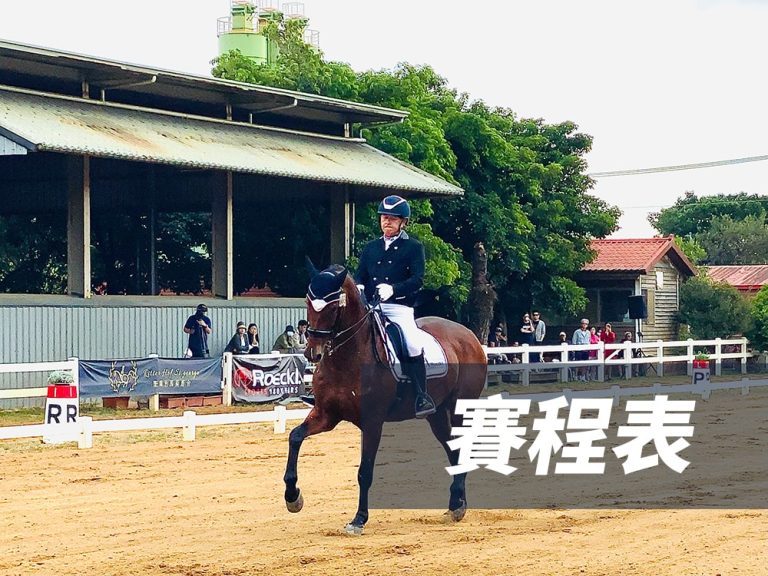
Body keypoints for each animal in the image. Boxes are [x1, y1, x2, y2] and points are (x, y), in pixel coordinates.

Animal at [283, 263, 487, 534]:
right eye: (308, 302)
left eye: (333, 306)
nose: (312, 353)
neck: (349, 357)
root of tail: (470, 335)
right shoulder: (327, 415)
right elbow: (295, 436)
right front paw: (293, 497)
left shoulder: (372, 423)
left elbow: (365, 472)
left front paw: (359, 519)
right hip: (436, 415)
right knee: (452, 448)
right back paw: (456, 505)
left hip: (459, 409)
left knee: (460, 448)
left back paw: (457, 505)